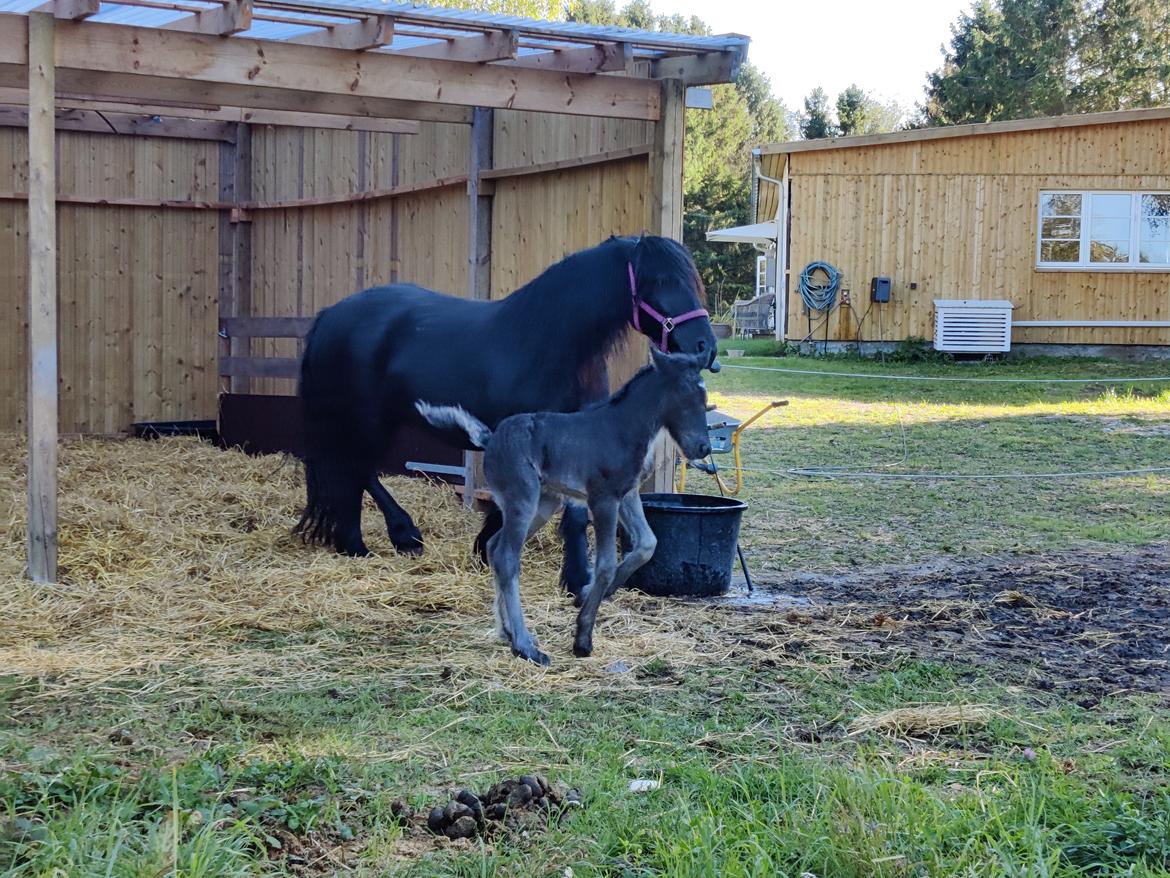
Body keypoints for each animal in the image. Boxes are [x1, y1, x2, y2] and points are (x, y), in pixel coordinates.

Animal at [295, 234, 718, 598]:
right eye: (659, 280)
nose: (705, 348)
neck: (549, 345)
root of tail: (330, 315)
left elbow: (573, 514)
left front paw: (566, 575)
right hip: (363, 420)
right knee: (355, 469)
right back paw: (369, 541)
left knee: (358, 471)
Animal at [416, 348, 713, 665]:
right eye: (685, 396)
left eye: (704, 397)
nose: (703, 448)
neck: (623, 429)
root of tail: (491, 437)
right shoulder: (603, 498)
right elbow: (606, 565)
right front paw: (582, 637)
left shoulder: (628, 494)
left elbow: (647, 544)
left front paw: (586, 594)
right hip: (522, 499)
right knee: (507, 557)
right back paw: (525, 646)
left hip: (544, 503)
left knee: (494, 547)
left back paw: (508, 632)